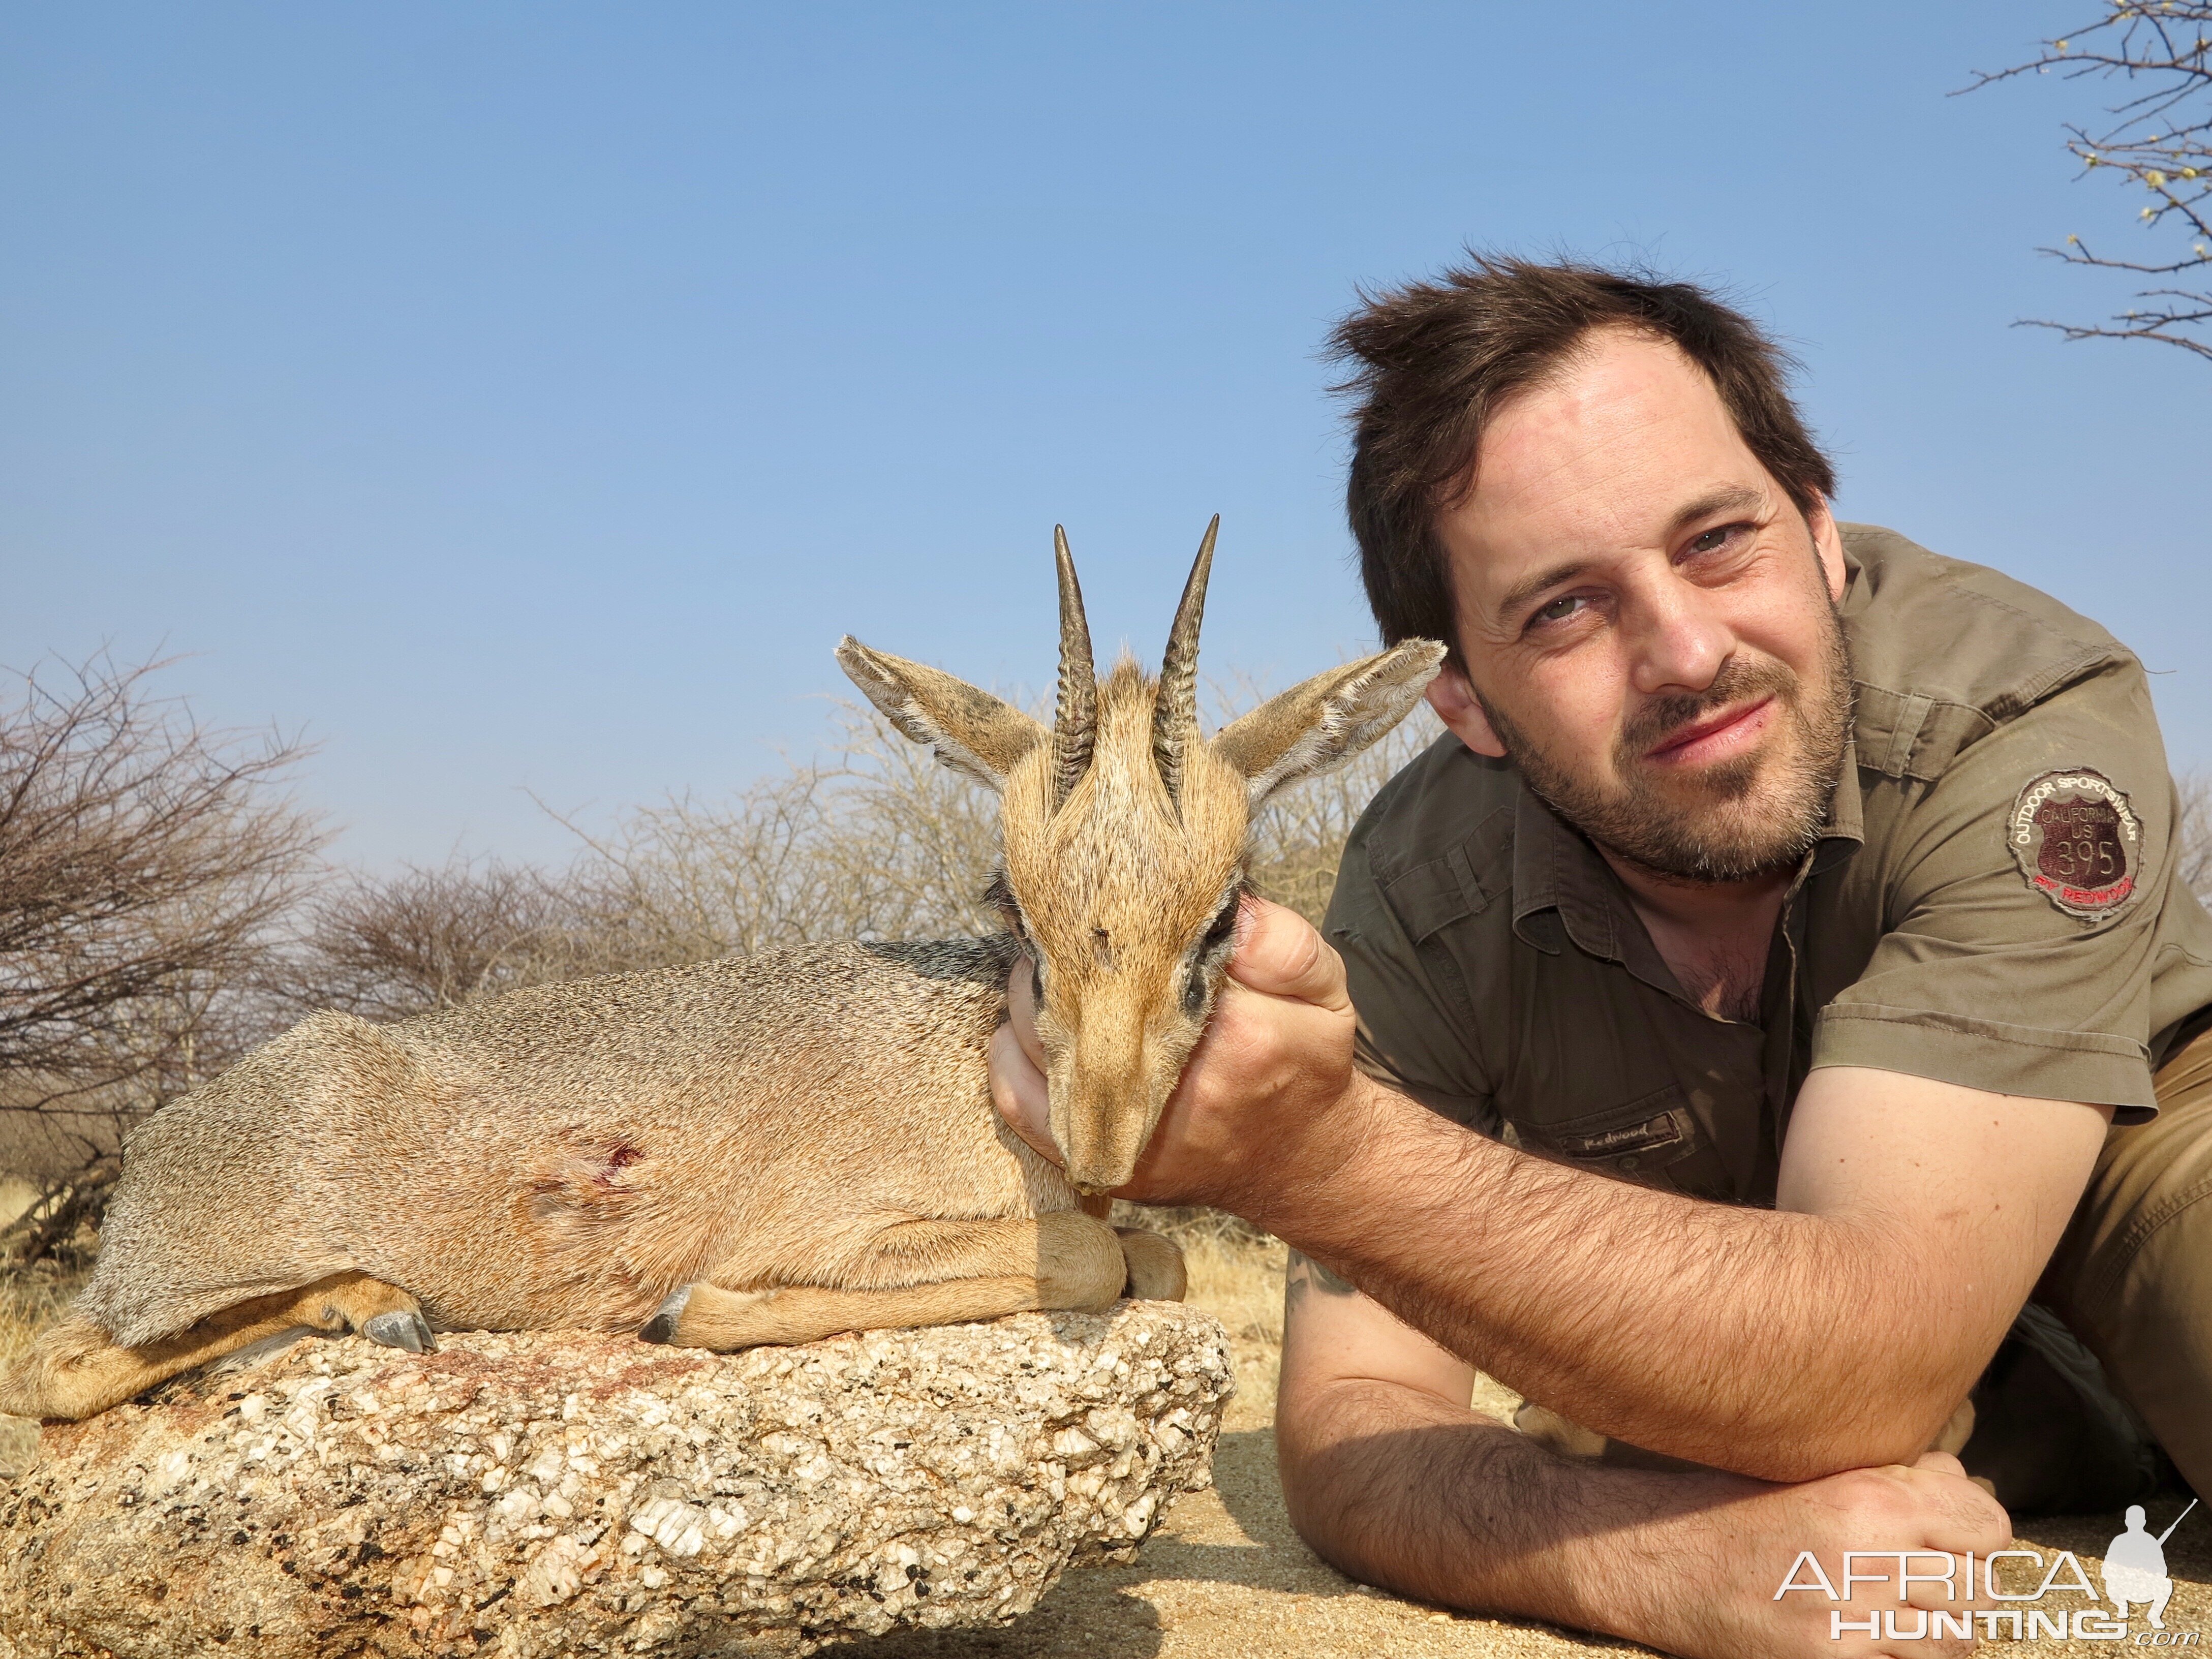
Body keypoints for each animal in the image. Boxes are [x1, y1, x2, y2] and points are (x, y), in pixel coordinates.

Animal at [0, 517, 1442, 1416]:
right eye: (1018, 914)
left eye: (1219, 920)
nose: (1101, 1145)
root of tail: (155, 1154)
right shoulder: (842, 1227)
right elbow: (1100, 1261)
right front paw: (688, 1308)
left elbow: (1158, 1257)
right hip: (174, 1279)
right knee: (62, 1366)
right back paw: (374, 1304)